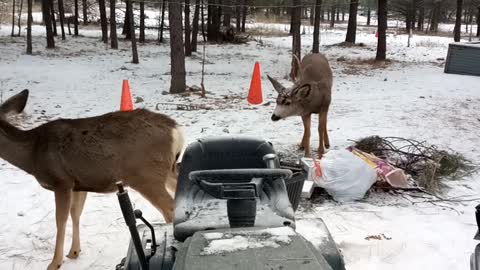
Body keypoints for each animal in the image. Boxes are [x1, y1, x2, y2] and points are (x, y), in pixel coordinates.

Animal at [0, 90, 184, 270]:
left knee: (170, 208)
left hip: (146, 175)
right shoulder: (79, 184)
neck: (32, 154)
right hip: (168, 170)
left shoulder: (61, 182)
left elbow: (60, 220)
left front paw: (54, 263)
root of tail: (176, 130)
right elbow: (76, 213)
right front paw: (74, 252)